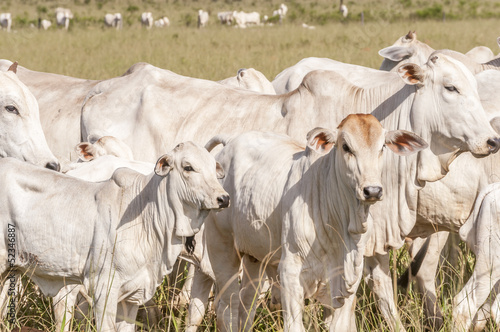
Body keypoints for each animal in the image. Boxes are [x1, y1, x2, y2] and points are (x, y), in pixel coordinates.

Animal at [205, 113, 428, 330]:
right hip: (222, 250)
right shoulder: (290, 273)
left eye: (382, 147)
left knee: (247, 305)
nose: (372, 190)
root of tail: (230, 141)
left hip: (255, 258)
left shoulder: (347, 281)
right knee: (227, 308)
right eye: (346, 147)